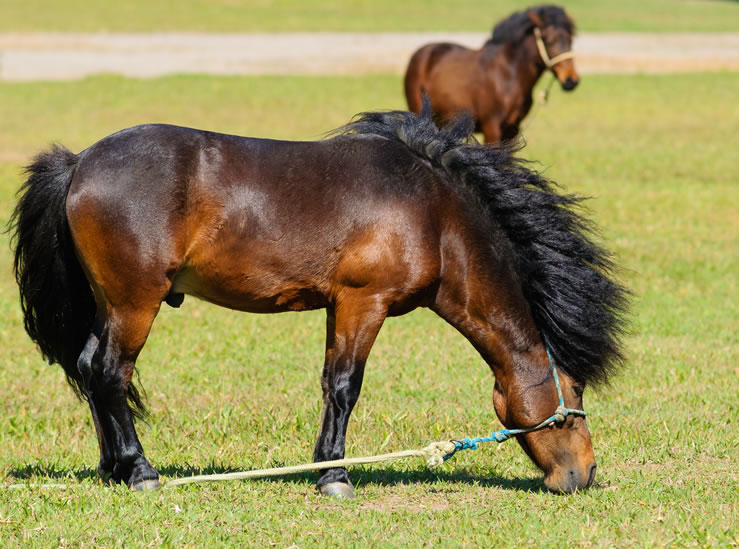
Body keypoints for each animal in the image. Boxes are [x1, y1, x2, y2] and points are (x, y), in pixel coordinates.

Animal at [8, 103, 628, 496]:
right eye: (573, 394)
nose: (586, 473)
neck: (434, 214)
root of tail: (80, 162)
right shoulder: (364, 302)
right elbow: (346, 386)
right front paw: (335, 475)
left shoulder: (339, 307)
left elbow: (332, 383)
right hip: (135, 302)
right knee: (111, 373)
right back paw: (139, 471)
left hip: (110, 304)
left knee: (90, 368)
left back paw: (112, 468)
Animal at [408, 5, 580, 142]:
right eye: (548, 41)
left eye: (571, 40)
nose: (571, 81)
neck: (508, 76)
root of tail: (423, 51)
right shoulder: (492, 127)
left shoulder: (512, 129)